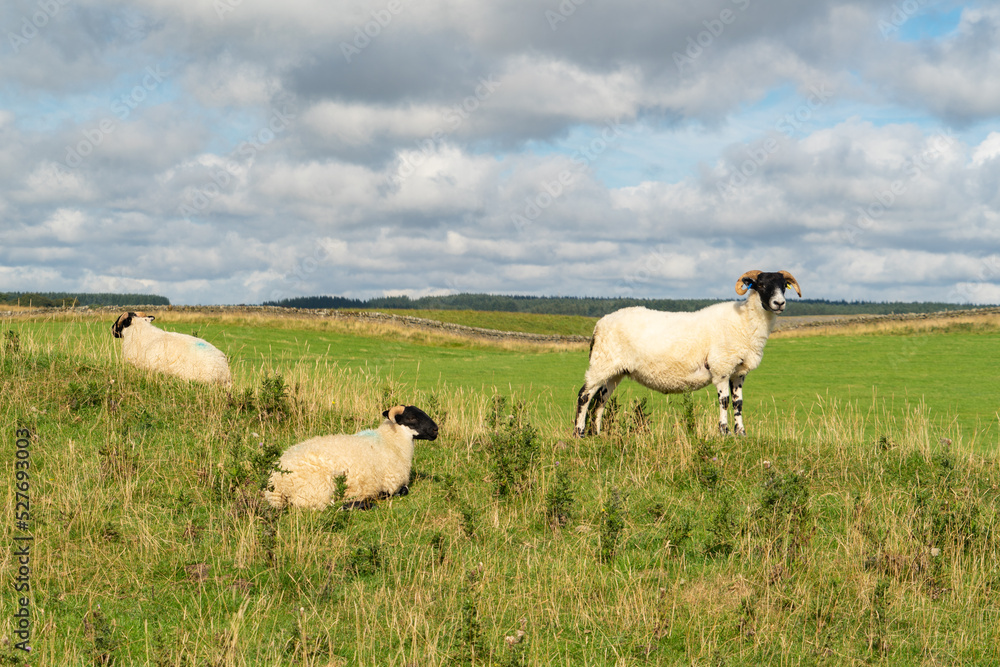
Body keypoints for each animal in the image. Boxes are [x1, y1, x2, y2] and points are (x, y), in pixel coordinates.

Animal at [263, 405, 439, 510]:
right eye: (411, 418)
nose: (435, 429)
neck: (390, 441)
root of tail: (277, 484)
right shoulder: (392, 483)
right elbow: (402, 490)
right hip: (317, 491)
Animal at [573, 270, 801, 437]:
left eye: (783, 286)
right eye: (761, 285)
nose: (779, 303)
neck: (744, 322)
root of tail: (599, 325)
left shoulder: (738, 372)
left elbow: (738, 403)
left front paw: (741, 433)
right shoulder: (721, 368)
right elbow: (724, 401)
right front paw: (724, 432)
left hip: (616, 370)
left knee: (601, 399)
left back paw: (598, 434)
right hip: (601, 363)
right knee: (585, 395)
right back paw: (579, 433)